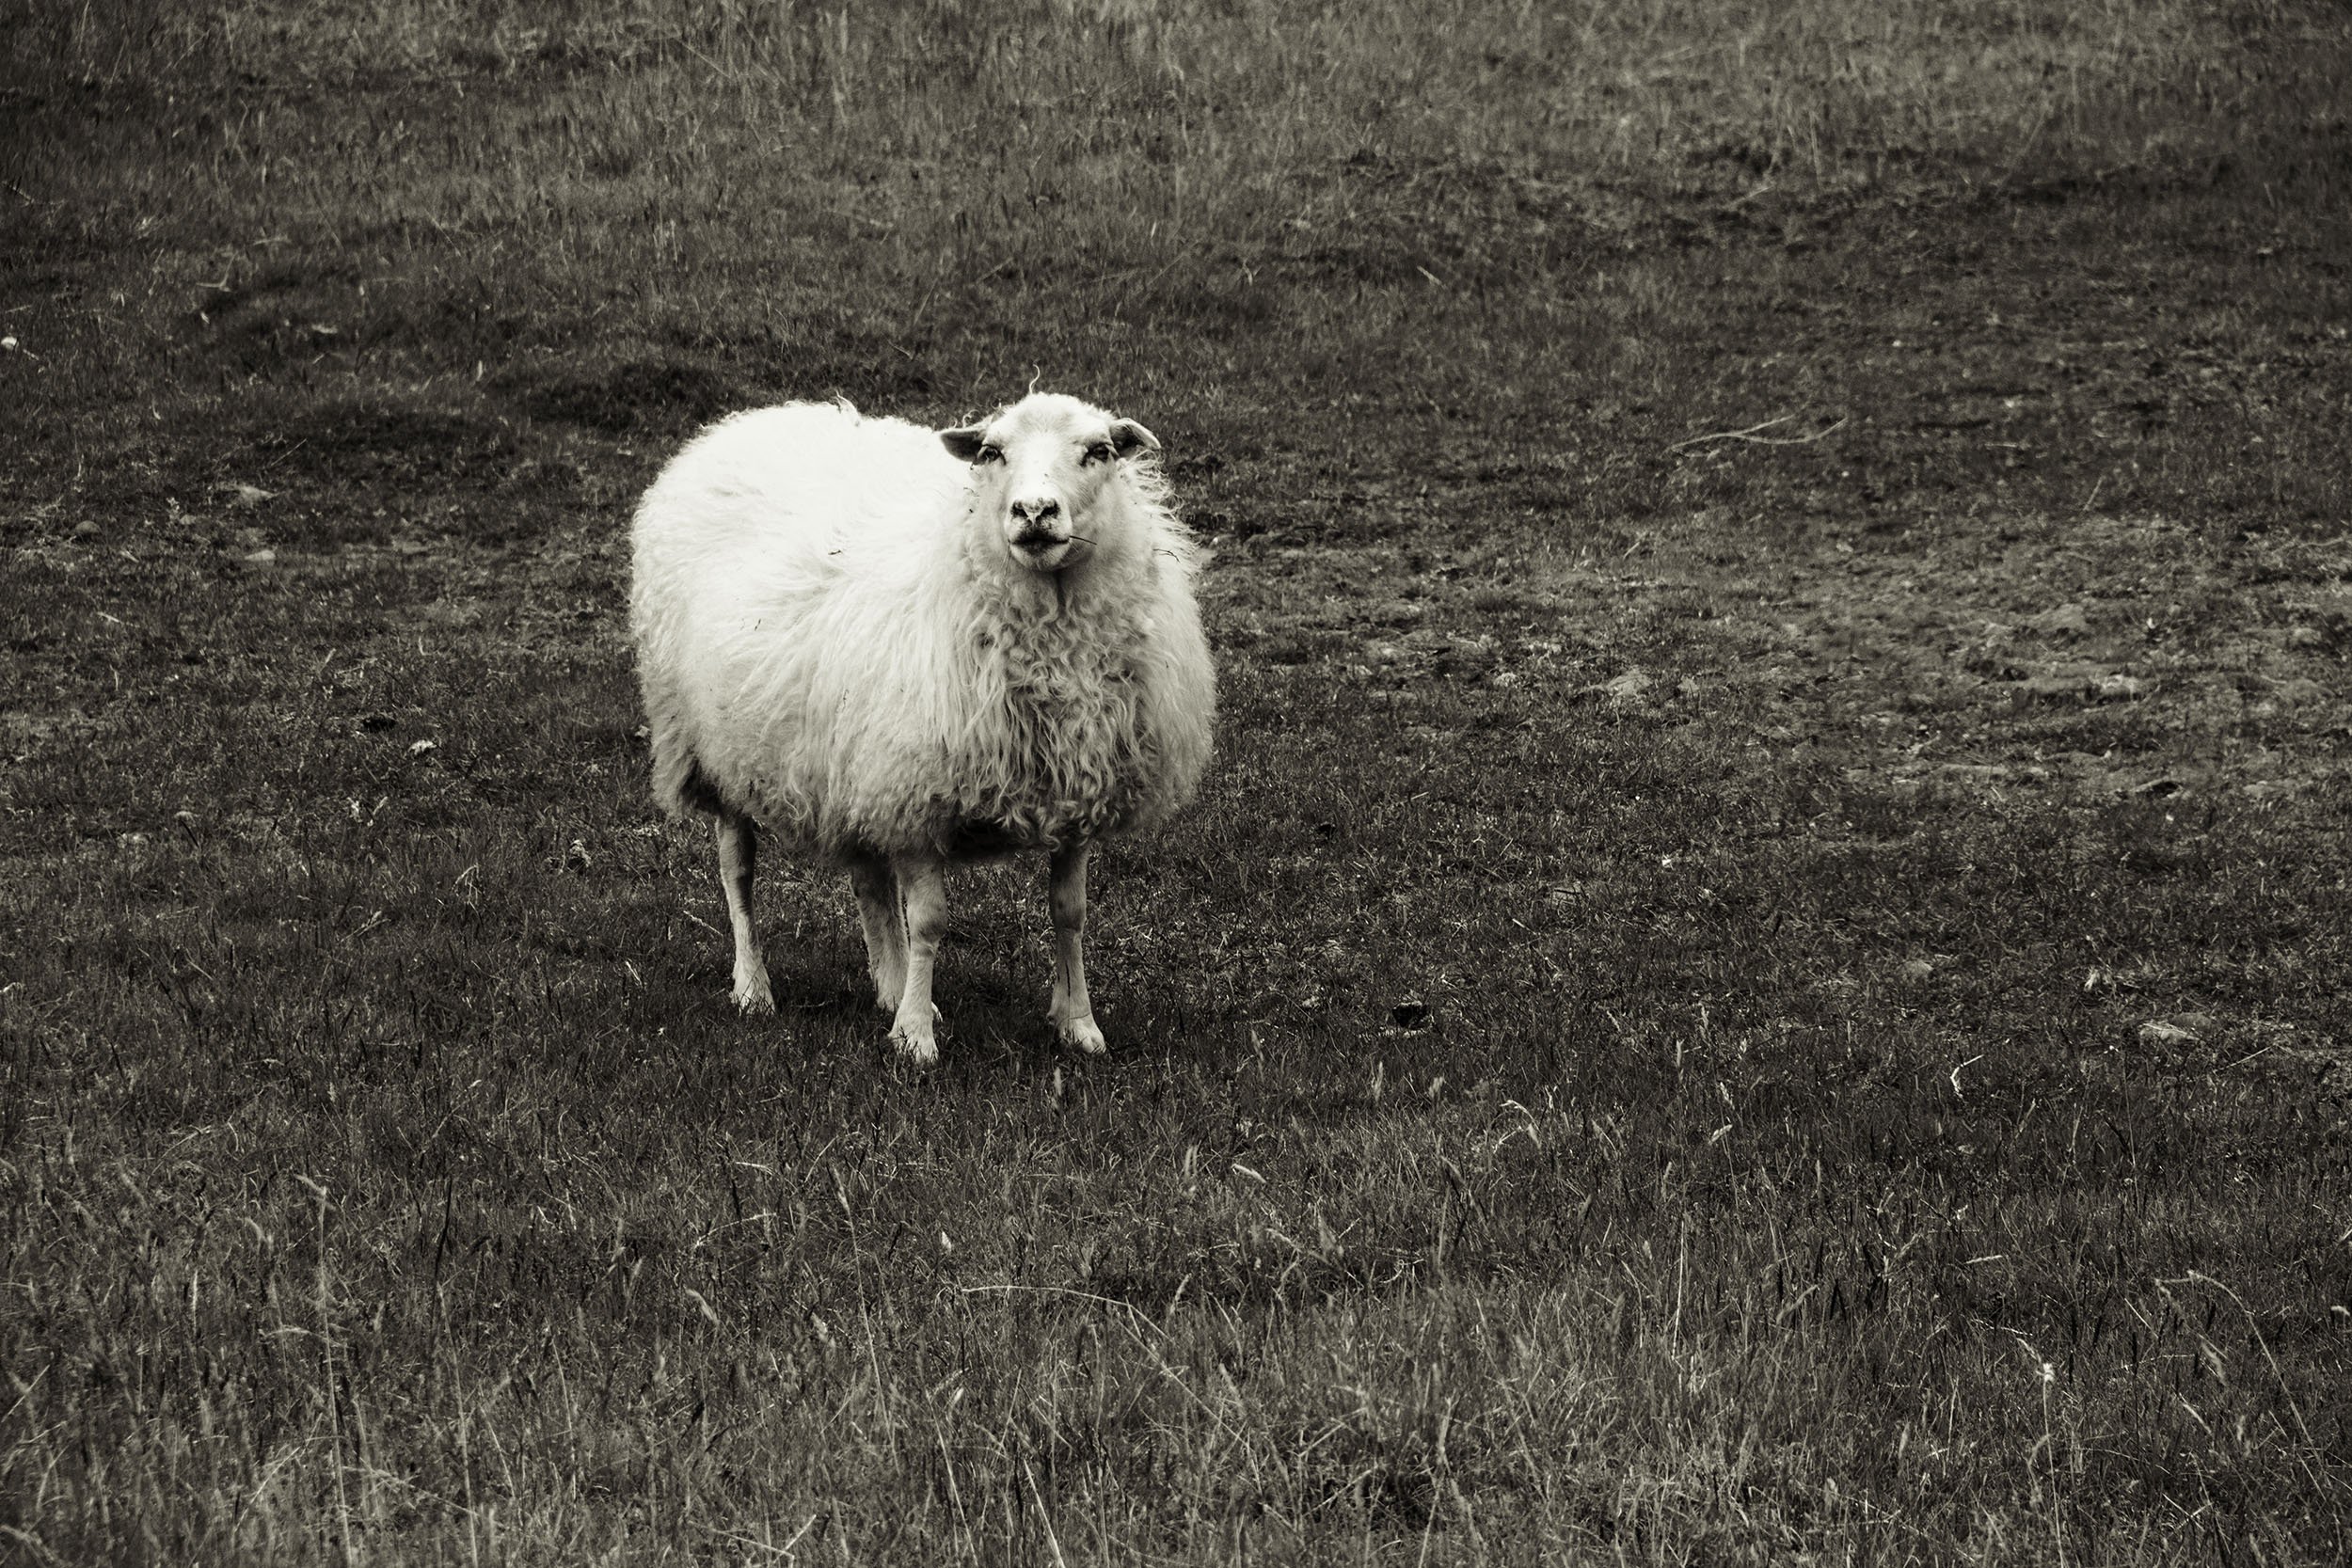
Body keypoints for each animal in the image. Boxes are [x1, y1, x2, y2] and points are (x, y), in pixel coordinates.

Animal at [628, 391, 1215, 1066]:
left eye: (1099, 452)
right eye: (992, 453)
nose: (1034, 511)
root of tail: (742, 424)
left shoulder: (1074, 790)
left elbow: (1070, 912)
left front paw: (1077, 1022)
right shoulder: (918, 794)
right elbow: (930, 920)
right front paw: (915, 1037)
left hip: (851, 762)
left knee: (868, 880)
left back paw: (889, 982)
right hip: (712, 748)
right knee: (738, 871)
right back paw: (755, 986)